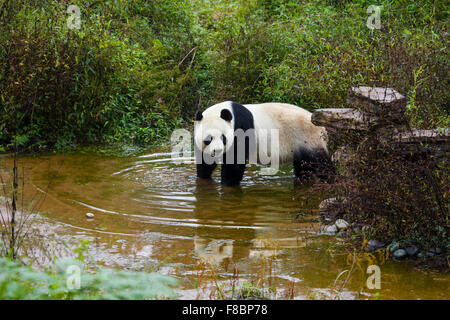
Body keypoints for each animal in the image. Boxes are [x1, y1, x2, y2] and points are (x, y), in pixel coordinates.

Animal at [193, 101, 330, 186]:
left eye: (223, 138)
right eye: (208, 139)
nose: (217, 151)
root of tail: (323, 129)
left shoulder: (241, 127)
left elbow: (235, 161)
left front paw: (227, 183)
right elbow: (205, 160)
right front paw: (202, 177)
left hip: (308, 138)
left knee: (319, 162)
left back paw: (330, 179)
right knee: (304, 166)